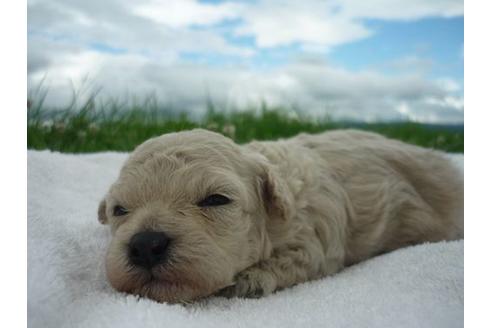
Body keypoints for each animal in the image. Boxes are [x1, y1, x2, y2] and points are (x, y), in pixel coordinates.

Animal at [98, 128, 464, 302]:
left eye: (215, 200)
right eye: (120, 210)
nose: (145, 244)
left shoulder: (317, 235)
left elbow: (300, 258)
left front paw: (250, 280)